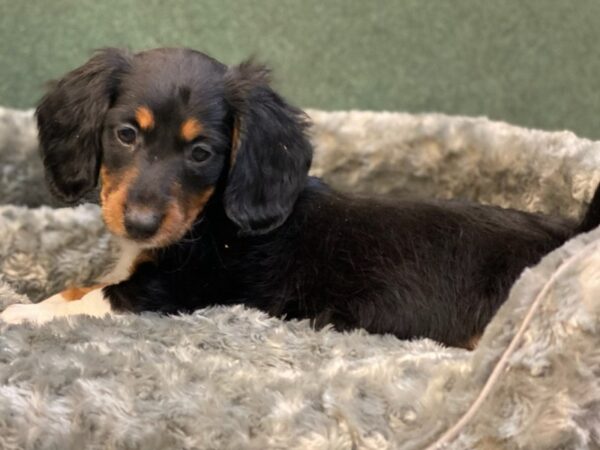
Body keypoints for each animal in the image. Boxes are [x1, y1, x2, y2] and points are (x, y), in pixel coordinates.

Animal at [2, 46, 596, 348]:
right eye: (126, 134)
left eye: (201, 152)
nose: (141, 224)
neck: (211, 220)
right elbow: (81, 284)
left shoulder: (170, 293)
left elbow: (80, 299)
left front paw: (18, 313)